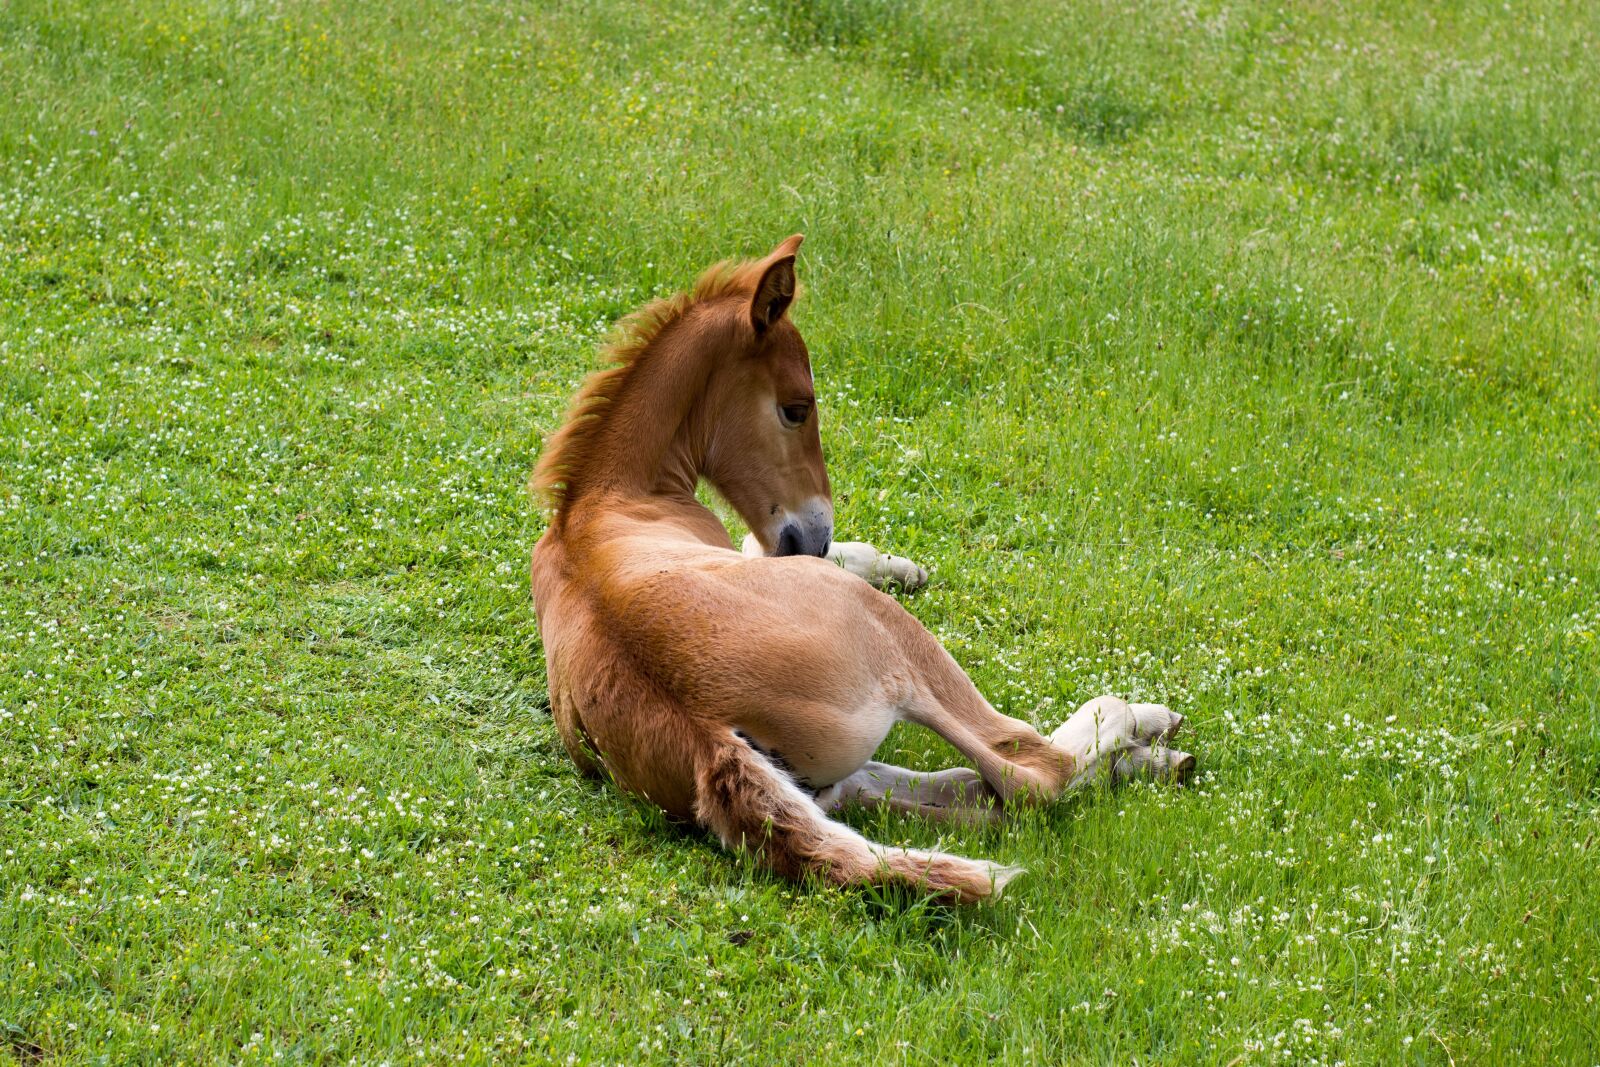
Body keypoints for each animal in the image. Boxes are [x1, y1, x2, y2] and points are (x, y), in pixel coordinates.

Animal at [530, 236, 1194, 902]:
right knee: (1026, 776)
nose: (816, 532)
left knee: (943, 794)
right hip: (893, 639)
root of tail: (703, 735)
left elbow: (758, 543)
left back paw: (1140, 760)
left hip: (828, 771)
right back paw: (1144, 726)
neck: (605, 501)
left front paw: (897, 563)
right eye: (797, 408)